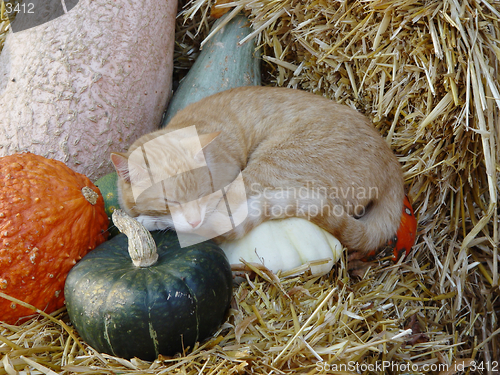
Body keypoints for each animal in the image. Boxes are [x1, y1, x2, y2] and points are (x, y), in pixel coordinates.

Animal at [111, 86, 404, 256]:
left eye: (203, 193)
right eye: (168, 201)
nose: (193, 220)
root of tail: (393, 166)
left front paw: (147, 221)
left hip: (267, 168)